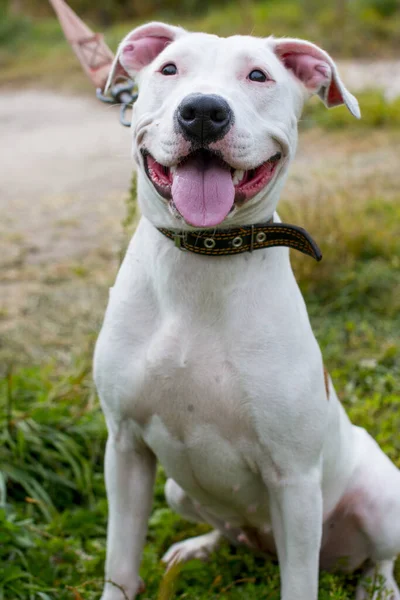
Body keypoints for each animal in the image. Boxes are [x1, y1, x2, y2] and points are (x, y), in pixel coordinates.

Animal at [94, 22, 400, 600]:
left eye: (258, 75)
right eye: (169, 68)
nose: (203, 111)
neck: (203, 257)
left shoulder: (295, 478)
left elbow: (299, 582)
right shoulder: (124, 448)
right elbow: (120, 561)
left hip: (381, 500)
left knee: (379, 558)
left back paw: (378, 587)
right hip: (177, 490)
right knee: (228, 527)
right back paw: (198, 548)